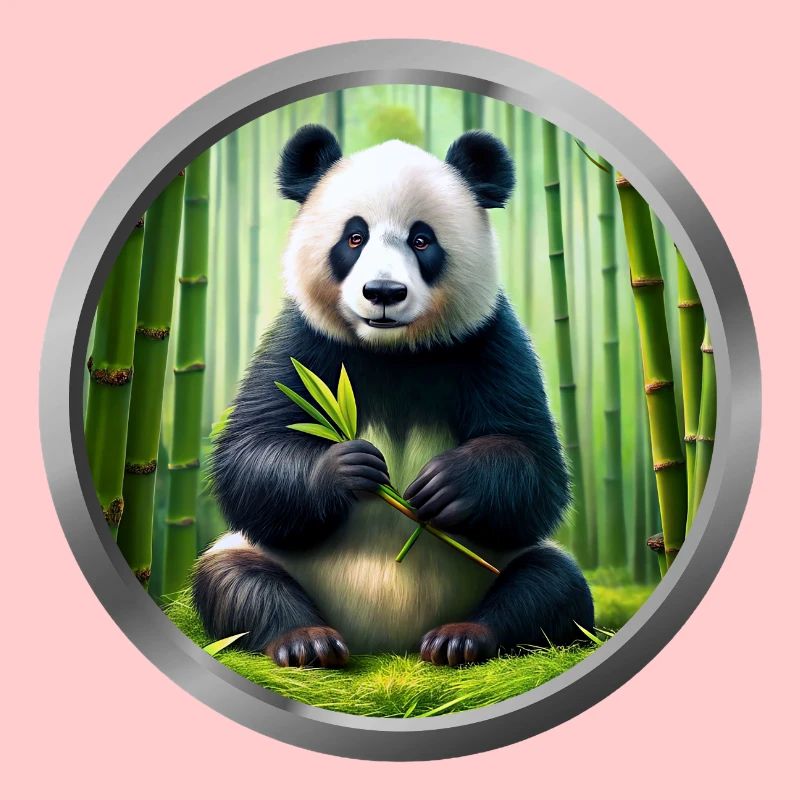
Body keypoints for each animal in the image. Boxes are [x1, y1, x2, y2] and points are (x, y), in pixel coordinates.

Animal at [193, 124, 594, 668]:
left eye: (421, 239)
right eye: (354, 237)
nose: (383, 292)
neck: (394, 350)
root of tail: (385, 643)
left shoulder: (490, 340)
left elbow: (534, 463)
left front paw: (447, 483)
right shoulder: (303, 344)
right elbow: (249, 455)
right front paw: (346, 468)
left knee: (551, 582)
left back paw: (461, 638)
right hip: (262, 560)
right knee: (233, 579)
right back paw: (306, 642)